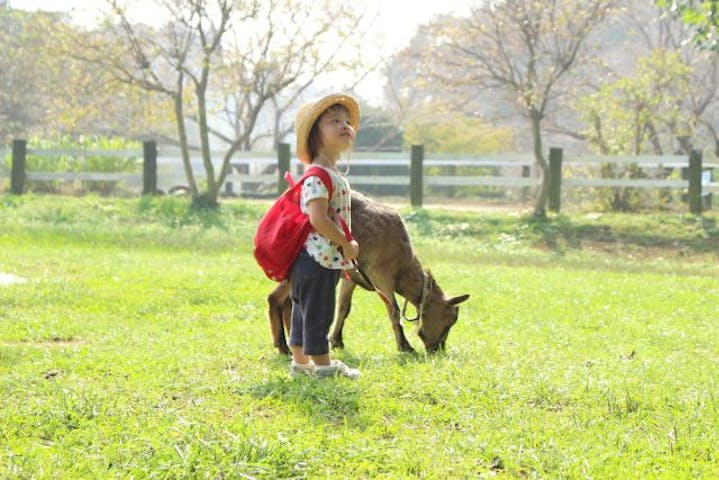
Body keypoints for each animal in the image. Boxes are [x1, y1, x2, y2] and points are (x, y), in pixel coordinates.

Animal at [268, 190, 470, 352]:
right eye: (450, 319)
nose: (437, 349)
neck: (403, 269)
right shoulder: (381, 274)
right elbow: (393, 310)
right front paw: (405, 346)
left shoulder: (351, 277)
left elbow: (343, 308)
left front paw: (336, 341)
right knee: (275, 298)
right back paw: (283, 346)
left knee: (288, 302)